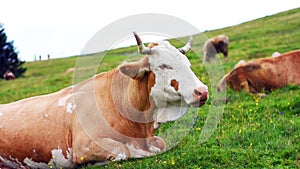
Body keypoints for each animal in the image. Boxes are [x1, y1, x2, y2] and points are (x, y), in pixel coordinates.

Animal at [0, 32, 209, 168]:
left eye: (188, 64)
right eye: (164, 65)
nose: (202, 91)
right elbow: (124, 151)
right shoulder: (83, 147)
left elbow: (161, 143)